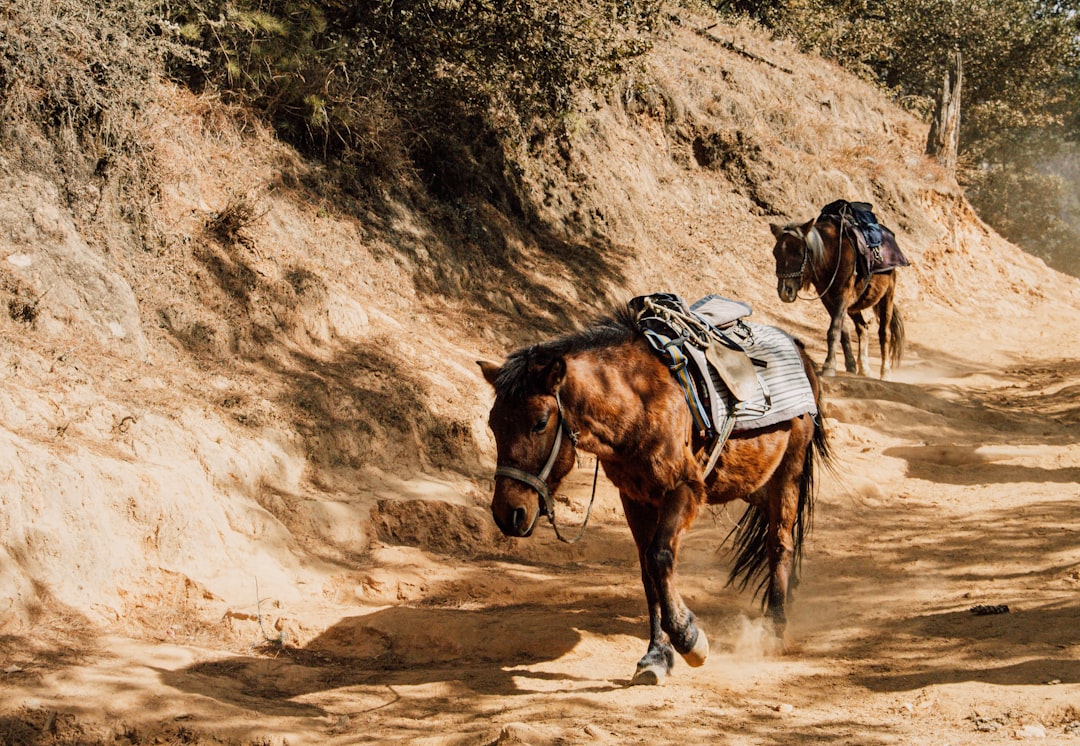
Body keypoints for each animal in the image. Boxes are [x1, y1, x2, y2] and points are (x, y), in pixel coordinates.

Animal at [477, 300, 829, 686]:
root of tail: (800, 350)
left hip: (788, 472)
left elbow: (661, 556)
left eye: (540, 422)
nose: (508, 513)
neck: (639, 403)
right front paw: (657, 655)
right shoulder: (635, 499)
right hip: (755, 481)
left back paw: (776, 626)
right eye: (494, 423)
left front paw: (689, 638)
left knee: (779, 541)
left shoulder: (684, 489)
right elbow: (648, 571)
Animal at [773, 202, 907, 380]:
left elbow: (834, 330)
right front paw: (850, 365)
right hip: (854, 306)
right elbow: (843, 331)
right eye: (775, 253)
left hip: (887, 296)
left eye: (799, 252)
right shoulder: (828, 298)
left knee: (884, 333)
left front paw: (829, 366)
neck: (832, 252)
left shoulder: (843, 295)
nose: (784, 291)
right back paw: (864, 368)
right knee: (862, 328)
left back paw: (885, 372)